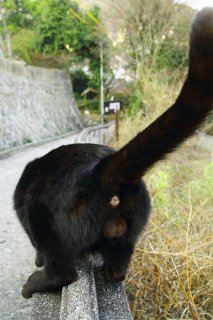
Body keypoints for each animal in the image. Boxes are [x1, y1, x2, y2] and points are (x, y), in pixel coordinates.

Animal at [13, 8, 213, 298]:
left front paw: (37, 260)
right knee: (117, 268)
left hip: (39, 207)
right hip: (130, 226)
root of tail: (99, 172)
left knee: (63, 271)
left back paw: (35, 283)